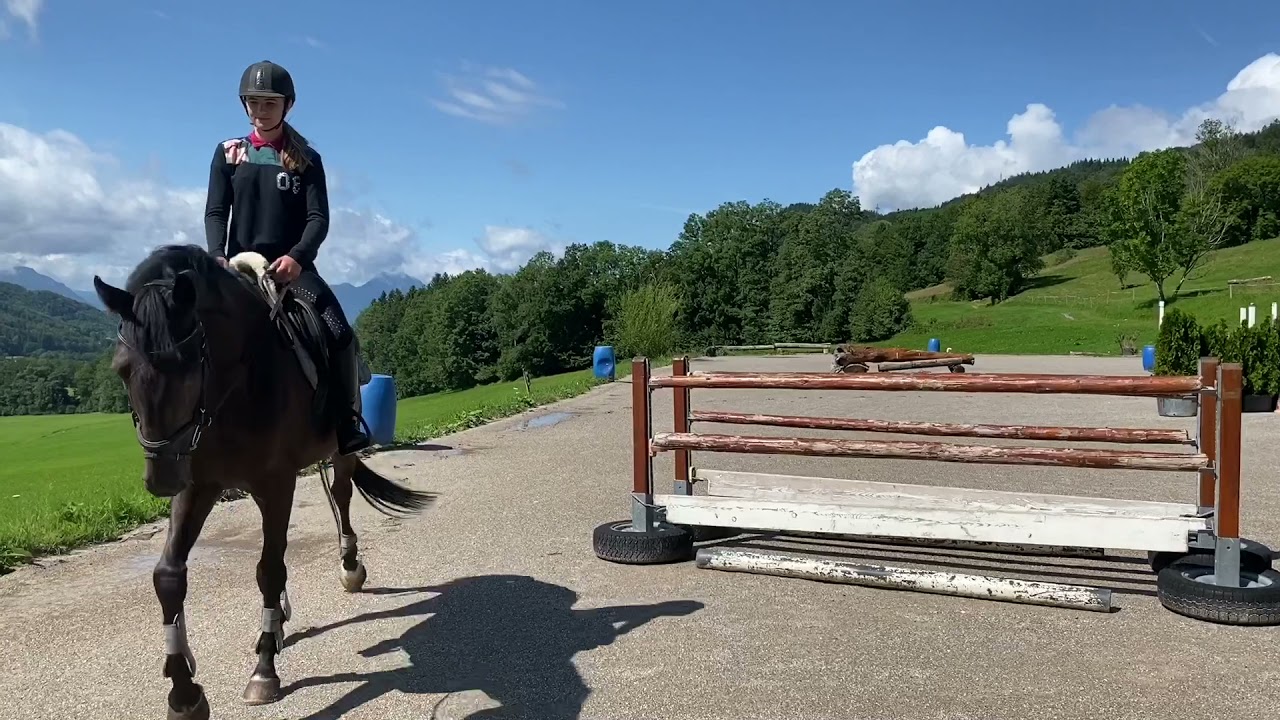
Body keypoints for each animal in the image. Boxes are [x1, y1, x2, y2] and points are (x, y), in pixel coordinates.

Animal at [92, 243, 436, 720]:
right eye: (122, 368)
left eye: (187, 365)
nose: (161, 477)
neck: (237, 385)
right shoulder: (198, 486)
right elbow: (169, 576)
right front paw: (184, 692)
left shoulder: (276, 483)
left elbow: (269, 569)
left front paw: (264, 669)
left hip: (340, 453)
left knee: (342, 498)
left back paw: (349, 568)